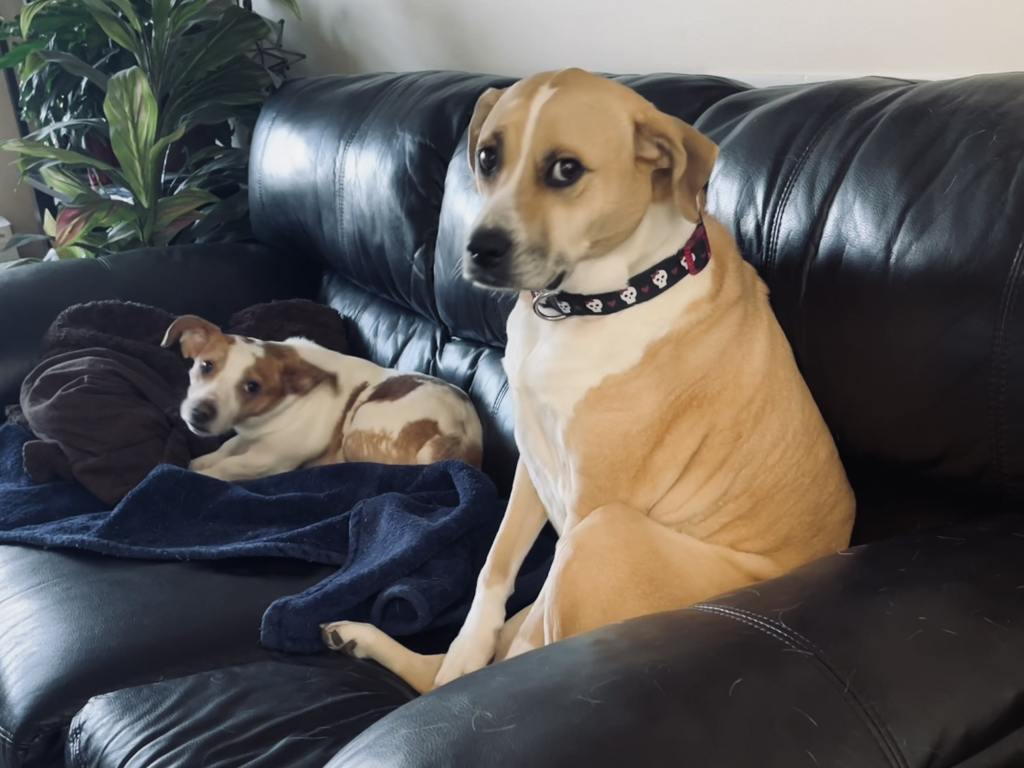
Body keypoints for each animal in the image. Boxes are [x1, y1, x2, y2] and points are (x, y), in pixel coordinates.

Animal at [162, 315, 483, 479]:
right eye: (206, 366)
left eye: (253, 386)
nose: (199, 413)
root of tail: (458, 437)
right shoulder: (251, 436)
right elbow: (227, 447)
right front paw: (204, 460)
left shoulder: (271, 458)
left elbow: (228, 466)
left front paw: (200, 471)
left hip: (359, 423)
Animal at [321, 69, 856, 696]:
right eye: (488, 157)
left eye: (565, 169)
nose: (478, 249)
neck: (594, 301)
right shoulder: (531, 465)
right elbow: (493, 568)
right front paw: (465, 652)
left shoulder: (588, 501)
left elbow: (527, 641)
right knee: (448, 670)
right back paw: (369, 641)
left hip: (601, 536)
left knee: (531, 647)